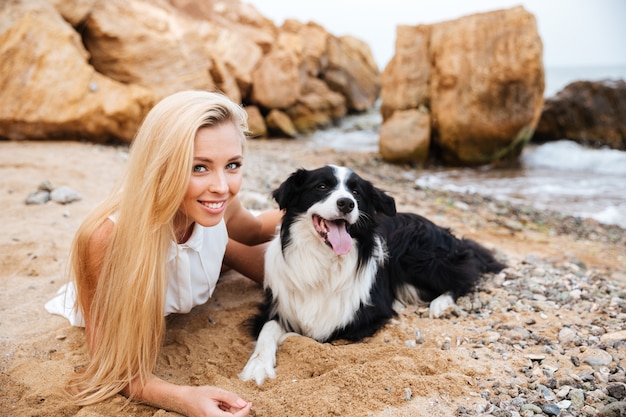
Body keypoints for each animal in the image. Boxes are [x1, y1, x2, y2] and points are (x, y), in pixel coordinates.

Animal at [238, 165, 502, 384]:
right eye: (321, 186)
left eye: (356, 192)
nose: (347, 203)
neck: (324, 261)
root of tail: (449, 235)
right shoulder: (276, 306)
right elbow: (268, 330)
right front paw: (257, 367)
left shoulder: (360, 318)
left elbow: (313, 336)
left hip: (420, 256)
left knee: (465, 276)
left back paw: (439, 304)